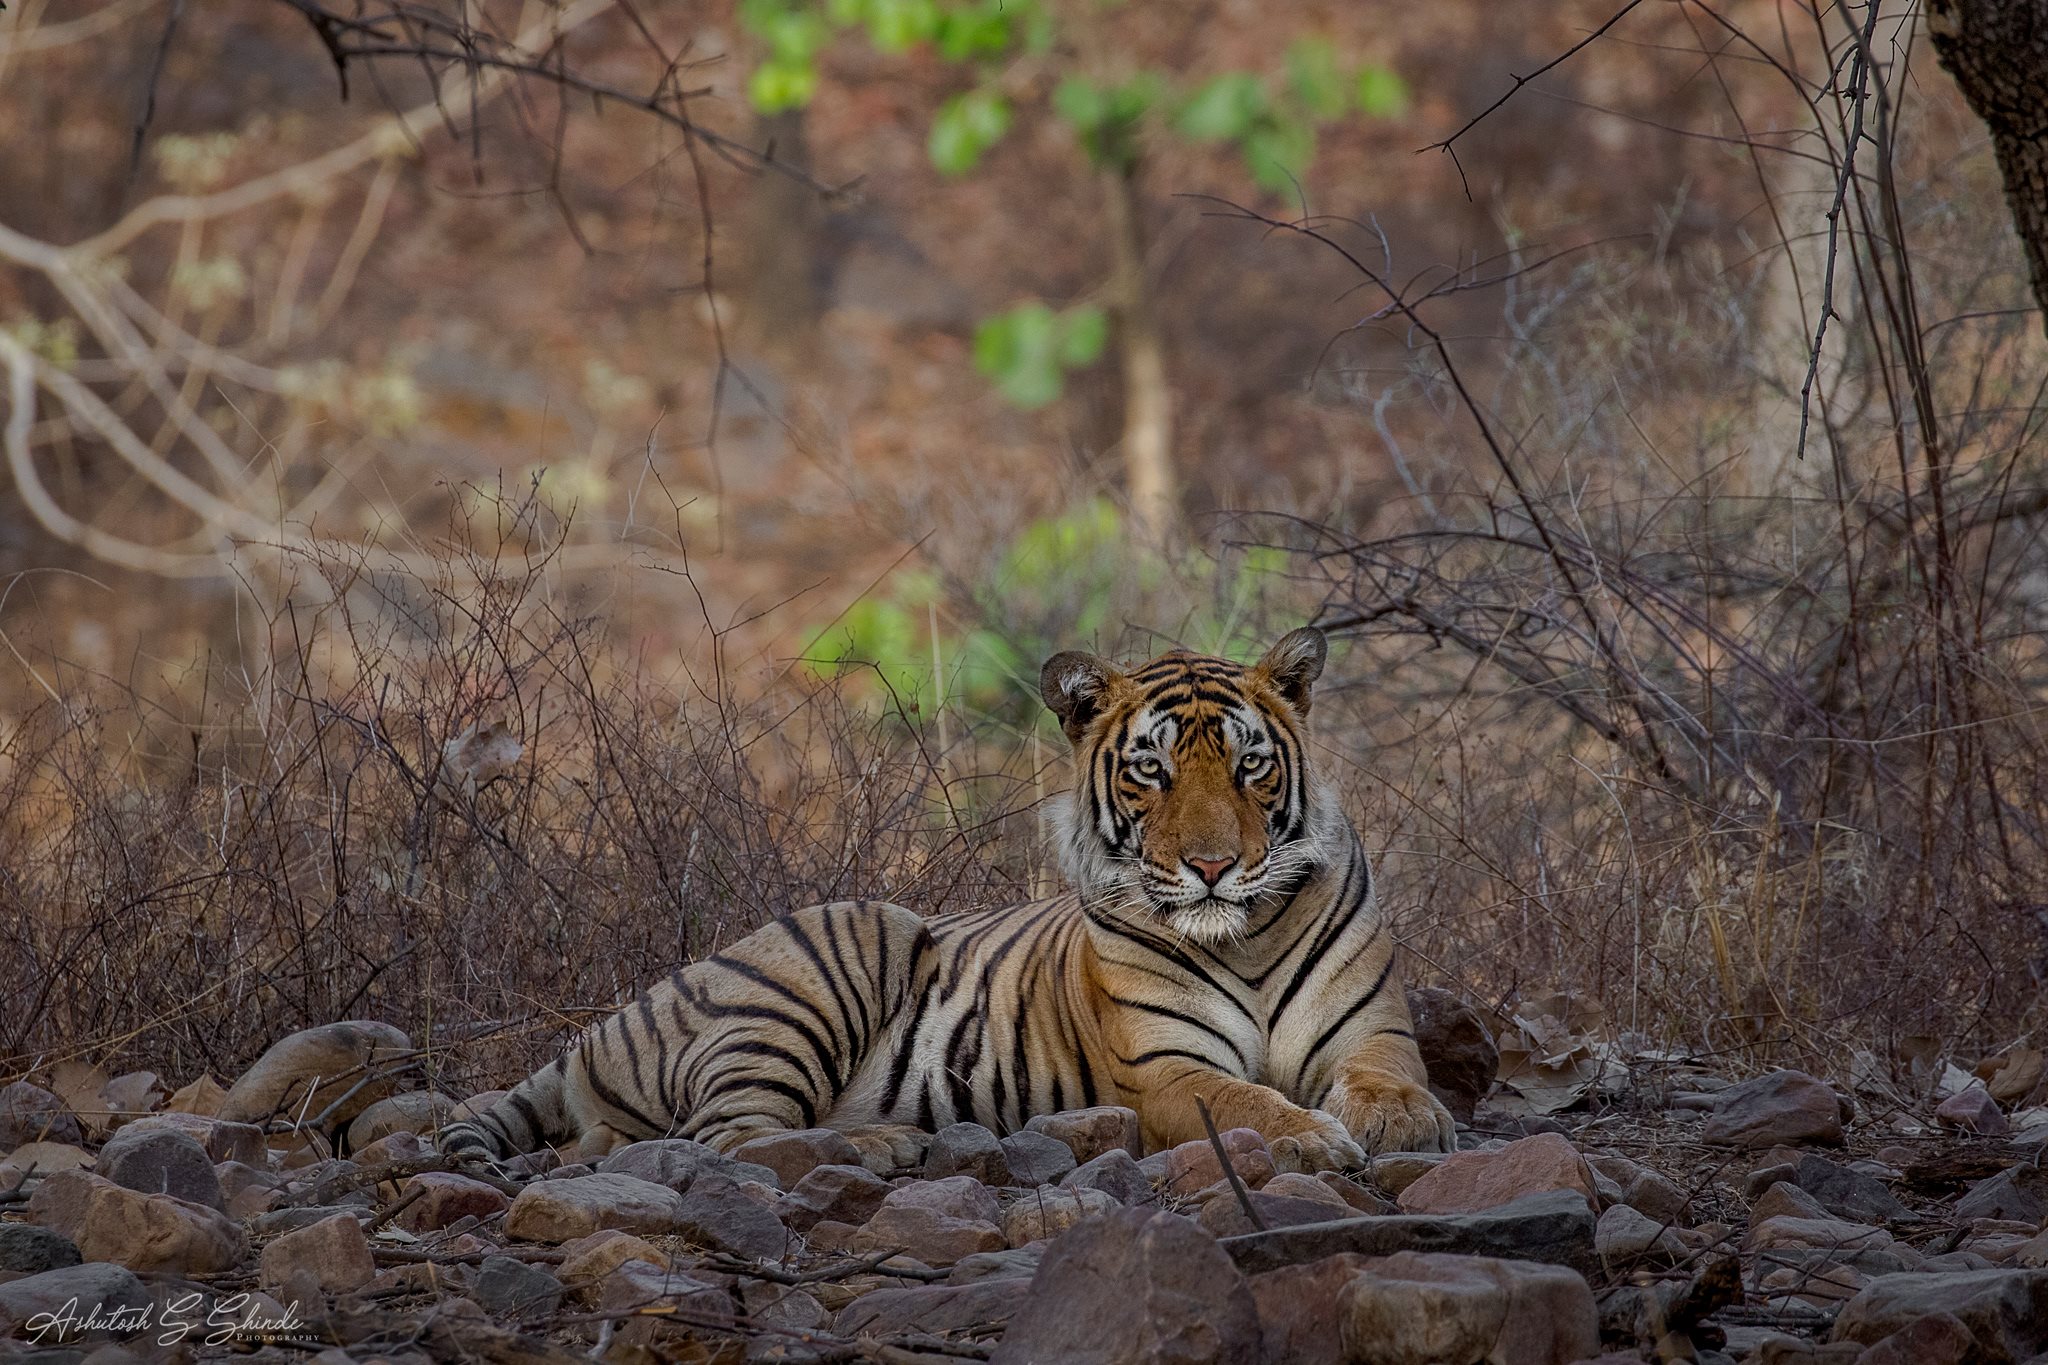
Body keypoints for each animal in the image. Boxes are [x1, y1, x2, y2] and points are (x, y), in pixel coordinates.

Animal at [437, 627, 1455, 1173]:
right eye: (1150, 770)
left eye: (1249, 764)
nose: (1211, 866)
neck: (1241, 938)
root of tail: (595, 1031)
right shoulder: (1169, 1067)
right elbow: (1245, 1099)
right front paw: (1315, 1139)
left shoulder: (1374, 1031)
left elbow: (1392, 1078)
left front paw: (1405, 1120)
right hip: (840, 949)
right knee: (725, 1136)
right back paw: (876, 1149)